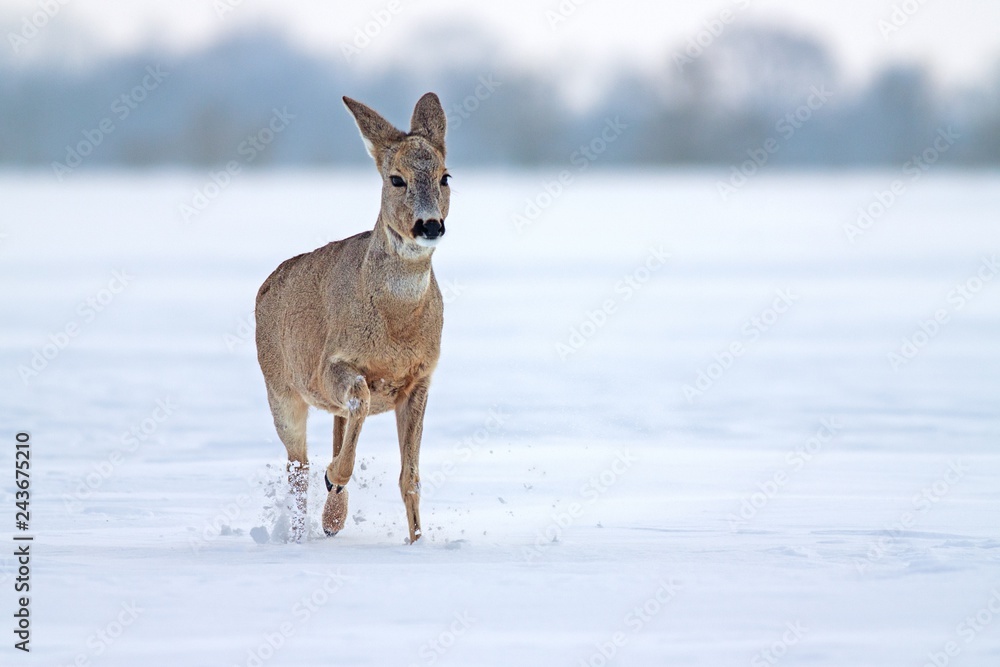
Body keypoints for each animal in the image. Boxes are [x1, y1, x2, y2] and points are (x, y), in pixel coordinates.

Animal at [254, 93, 450, 543]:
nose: (430, 225)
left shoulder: (420, 378)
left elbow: (410, 477)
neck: (397, 326)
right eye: (396, 179)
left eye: (445, 177)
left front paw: (418, 542)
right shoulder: (331, 364)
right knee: (298, 465)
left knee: (335, 429)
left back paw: (329, 520)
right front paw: (335, 480)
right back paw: (301, 531)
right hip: (280, 389)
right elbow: (359, 397)